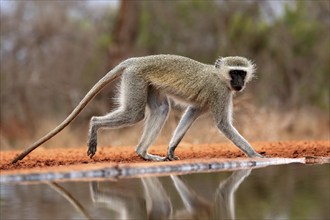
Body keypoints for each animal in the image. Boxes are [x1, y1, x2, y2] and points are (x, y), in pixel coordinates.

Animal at [11, 55, 262, 163]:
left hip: (146, 83)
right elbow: (223, 125)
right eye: (234, 72)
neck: (219, 76)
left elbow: (190, 114)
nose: (239, 83)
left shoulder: (205, 100)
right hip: (135, 78)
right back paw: (95, 126)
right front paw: (254, 154)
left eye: (242, 73)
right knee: (134, 114)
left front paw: (171, 149)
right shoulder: (220, 93)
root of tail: (135, 60)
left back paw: (142, 153)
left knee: (161, 110)